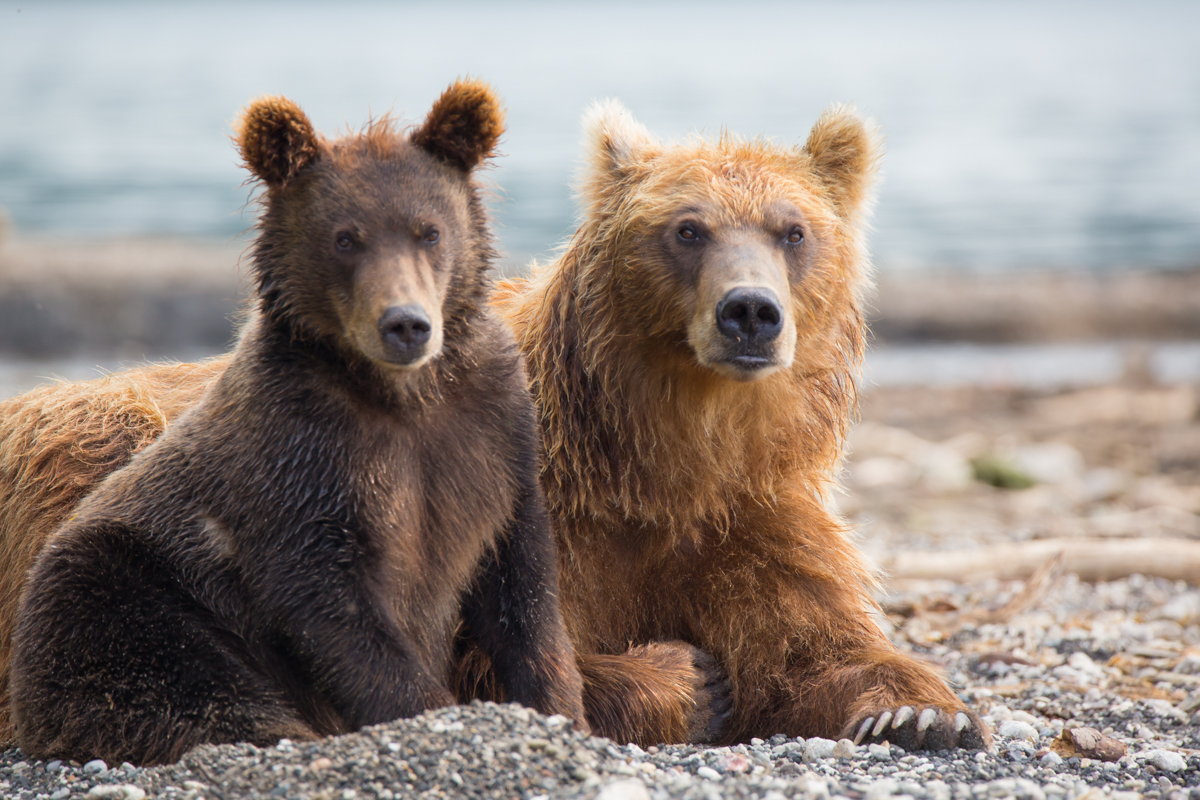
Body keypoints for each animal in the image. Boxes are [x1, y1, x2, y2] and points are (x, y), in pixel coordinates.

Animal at [7, 82, 588, 767]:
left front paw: (557, 709)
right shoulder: (301, 457)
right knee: (183, 683)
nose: (406, 324)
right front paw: (436, 714)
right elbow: (331, 606)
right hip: (125, 596)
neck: (402, 396)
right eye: (345, 238)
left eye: (429, 232)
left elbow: (524, 589)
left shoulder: (495, 432)